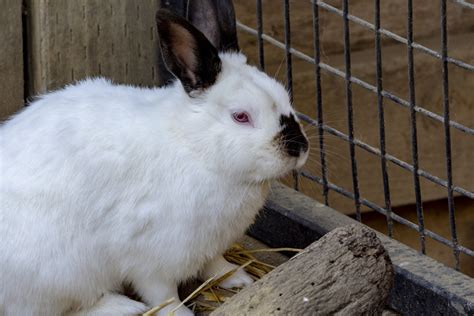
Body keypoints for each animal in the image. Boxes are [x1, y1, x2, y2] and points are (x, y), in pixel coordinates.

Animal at [0, 3, 310, 316]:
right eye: (241, 116)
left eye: (286, 98)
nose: (299, 148)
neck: (194, 147)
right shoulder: (152, 259)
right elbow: (163, 294)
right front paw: (181, 313)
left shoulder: (209, 247)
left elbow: (215, 266)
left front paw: (239, 278)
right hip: (62, 274)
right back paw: (122, 306)